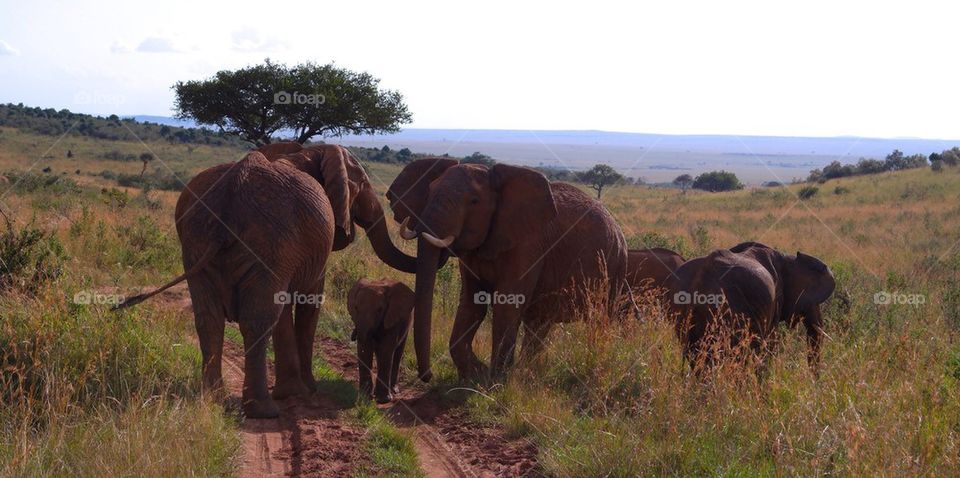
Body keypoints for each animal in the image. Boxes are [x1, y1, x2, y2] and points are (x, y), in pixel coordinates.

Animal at [116, 143, 417, 418]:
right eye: (363, 184)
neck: (310, 151)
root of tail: (230, 193)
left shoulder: (288, 254)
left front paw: (292, 391)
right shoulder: (305, 250)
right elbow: (308, 303)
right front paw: (305, 390)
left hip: (196, 240)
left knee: (209, 318)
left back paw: (214, 399)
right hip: (268, 241)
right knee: (257, 320)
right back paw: (263, 409)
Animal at [388, 158, 630, 381]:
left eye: (474, 201)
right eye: (429, 191)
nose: (427, 376)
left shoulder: (528, 245)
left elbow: (507, 305)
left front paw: (494, 381)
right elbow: (471, 304)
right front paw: (475, 375)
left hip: (615, 266)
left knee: (600, 317)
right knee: (539, 323)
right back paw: (525, 372)